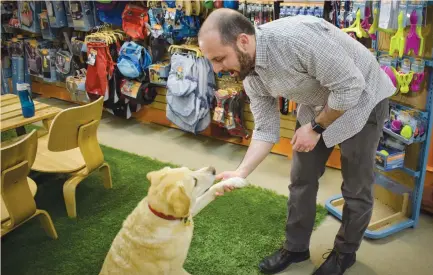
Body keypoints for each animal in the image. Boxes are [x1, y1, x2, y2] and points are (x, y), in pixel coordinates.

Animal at [99, 167, 248, 274]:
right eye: (194, 181)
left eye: (190, 169)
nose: (213, 169)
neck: (165, 216)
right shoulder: (176, 269)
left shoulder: (189, 211)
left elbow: (212, 189)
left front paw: (234, 180)